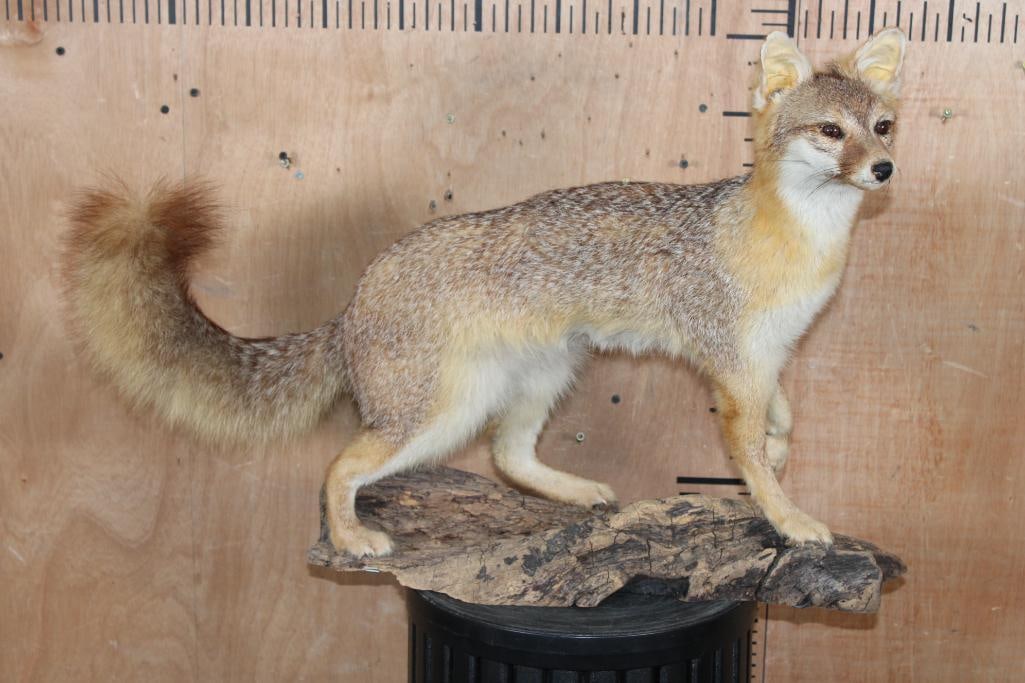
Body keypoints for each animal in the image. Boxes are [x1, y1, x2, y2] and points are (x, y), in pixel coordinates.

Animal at [62, 29, 907, 558]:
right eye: (829, 132)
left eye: (882, 126)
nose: (883, 170)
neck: (798, 240)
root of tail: (351, 304)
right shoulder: (729, 363)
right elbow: (750, 461)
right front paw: (789, 517)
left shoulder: (761, 359)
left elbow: (782, 416)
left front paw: (782, 449)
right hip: (437, 415)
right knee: (338, 465)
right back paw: (351, 537)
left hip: (541, 377)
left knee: (506, 455)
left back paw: (576, 491)